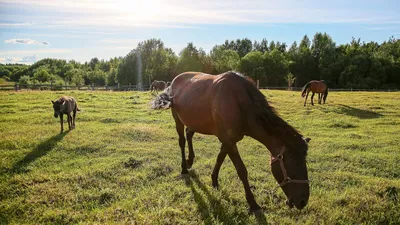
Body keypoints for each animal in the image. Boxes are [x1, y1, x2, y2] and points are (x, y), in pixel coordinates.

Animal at [152, 71, 310, 212]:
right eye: (292, 164)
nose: (303, 201)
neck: (239, 103)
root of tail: (173, 82)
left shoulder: (228, 140)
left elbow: (220, 158)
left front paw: (214, 181)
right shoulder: (228, 141)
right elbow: (241, 170)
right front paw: (252, 203)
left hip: (194, 121)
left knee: (189, 134)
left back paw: (190, 160)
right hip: (177, 119)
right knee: (182, 141)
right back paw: (184, 167)